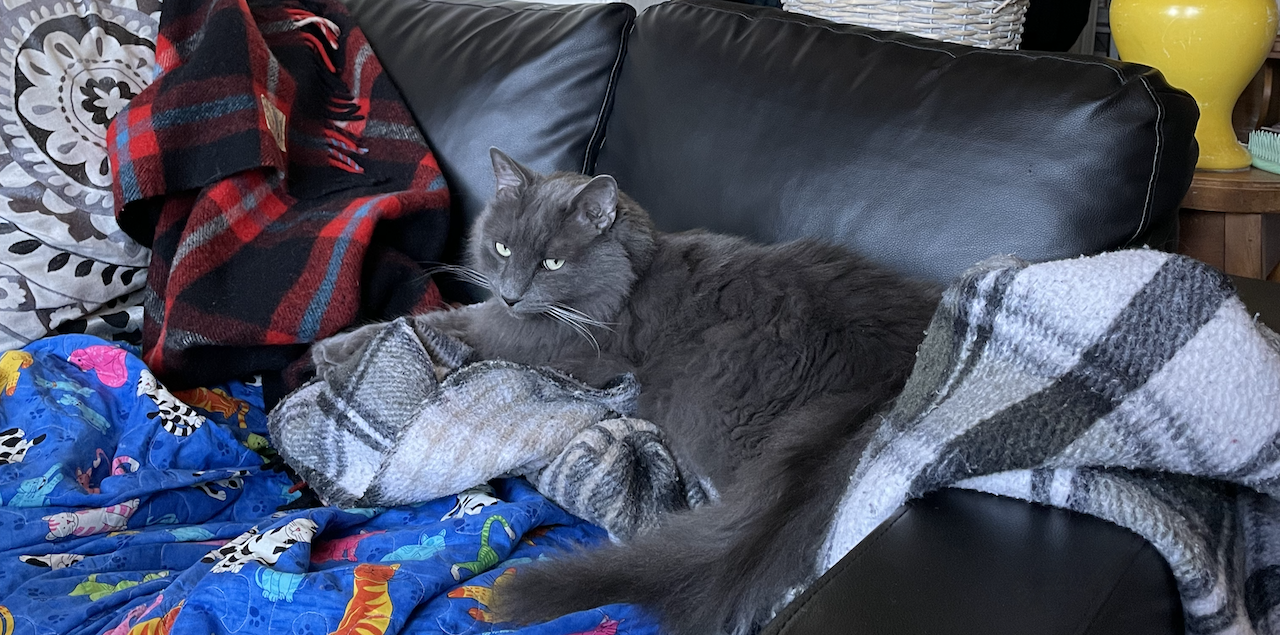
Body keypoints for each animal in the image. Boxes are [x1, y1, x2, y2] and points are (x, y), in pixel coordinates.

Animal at [407, 149, 931, 635]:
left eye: (551, 263)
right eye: (500, 248)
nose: (511, 295)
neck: (626, 282)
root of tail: (893, 361)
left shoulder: (535, 343)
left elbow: (442, 323)